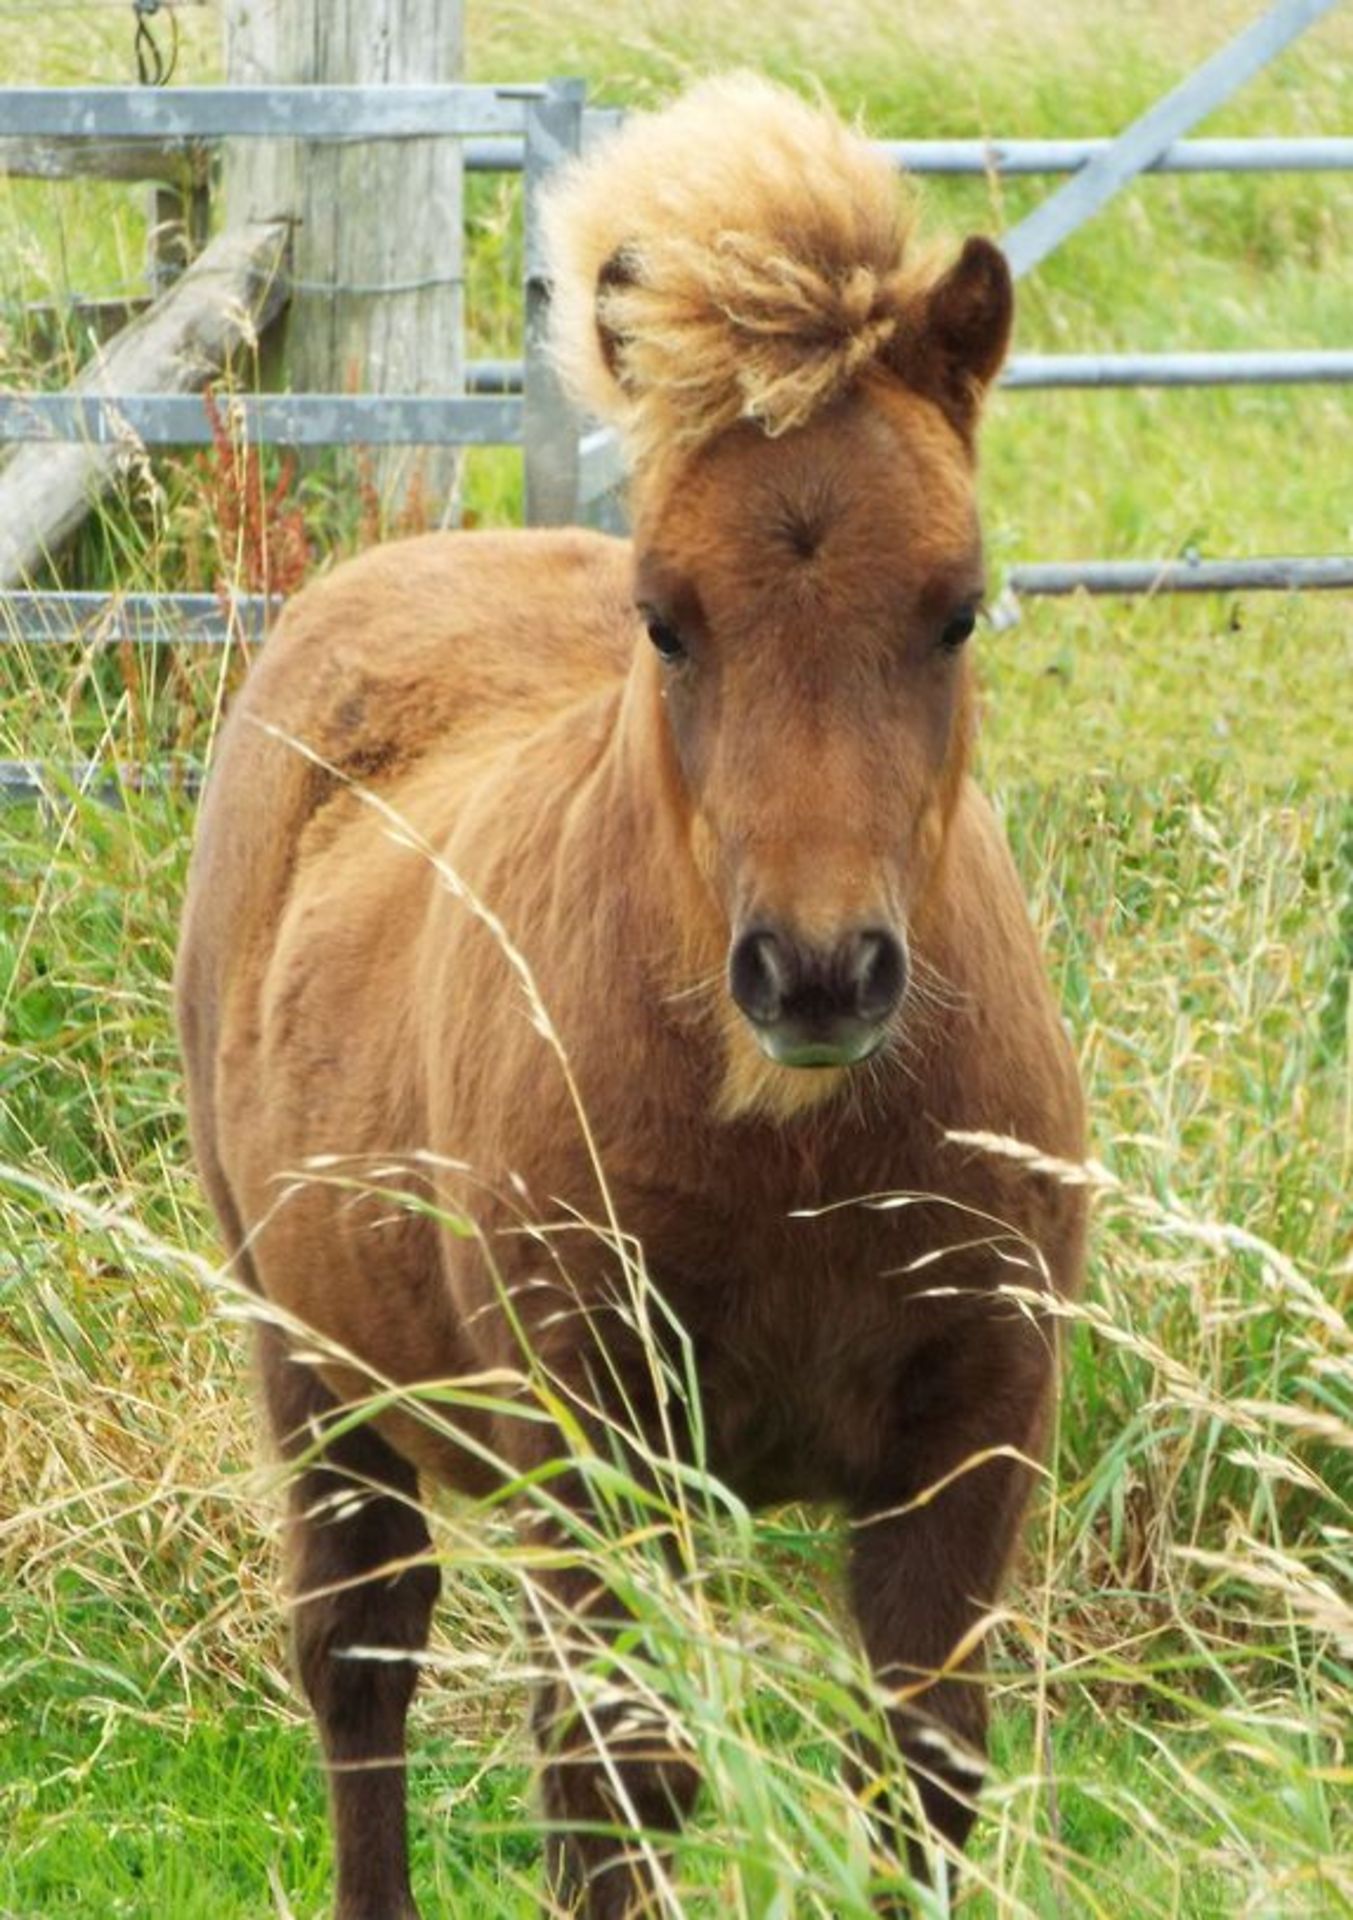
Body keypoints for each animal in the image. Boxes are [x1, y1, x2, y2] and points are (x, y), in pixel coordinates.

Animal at [179, 74, 1090, 1920]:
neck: (804, 1156)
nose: (814, 971)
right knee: (361, 1659)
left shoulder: (973, 1431)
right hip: (311, 1361)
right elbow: (619, 1785)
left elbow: (922, 1782)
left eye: (956, 609)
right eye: (665, 622)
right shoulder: (593, 1433)